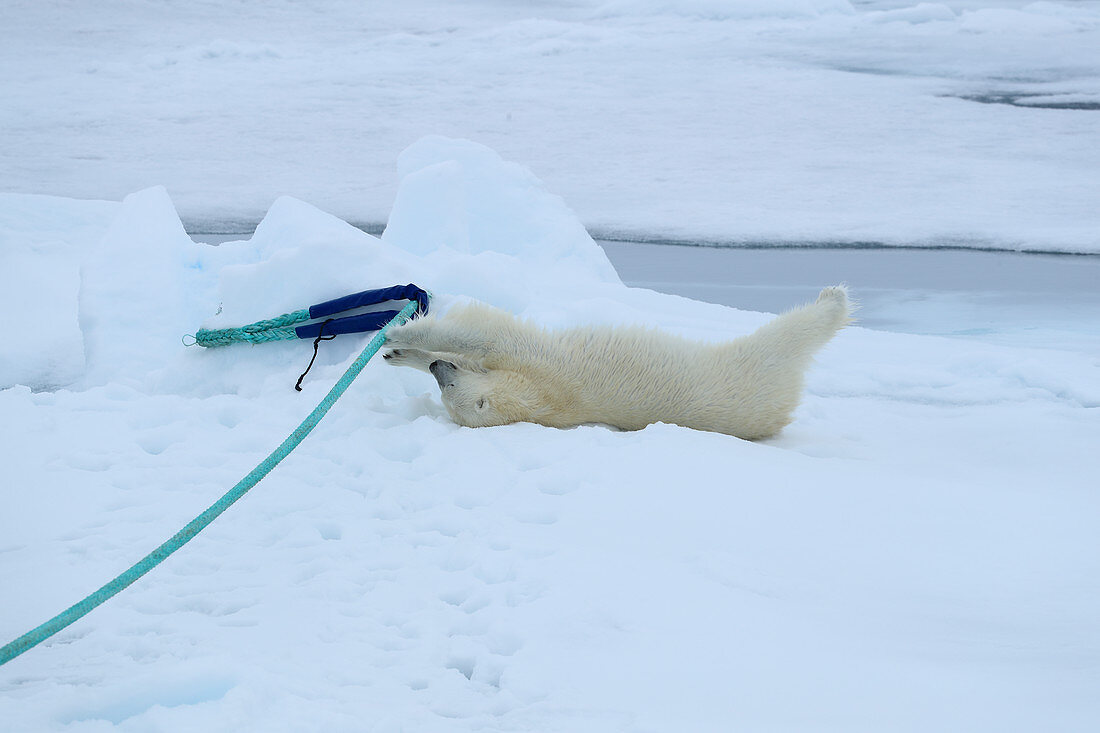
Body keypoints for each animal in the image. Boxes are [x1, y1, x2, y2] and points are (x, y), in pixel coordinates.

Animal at [382, 281, 853, 435]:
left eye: (450, 388)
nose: (438, 369)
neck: (550, 401)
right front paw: (401, 354)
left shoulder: (545, 364)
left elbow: (489, 334)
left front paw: (399, 331)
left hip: (749, 365)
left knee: (791, 332)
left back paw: (833, 299)